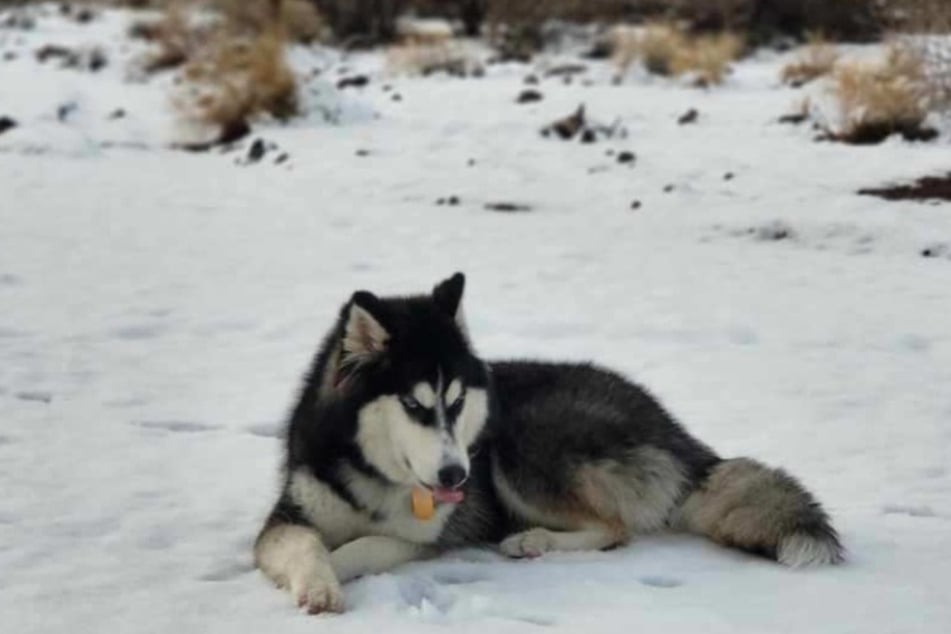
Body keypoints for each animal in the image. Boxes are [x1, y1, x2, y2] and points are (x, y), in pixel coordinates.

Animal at [256, 274, 844, 608]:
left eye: (457, 402)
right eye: (415, 404)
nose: (457, 476)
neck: (371, 474)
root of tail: (674, 431)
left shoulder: (428, 535)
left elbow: (362, 546)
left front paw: (335, 571)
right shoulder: (286, 517)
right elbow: (305, 543)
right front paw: (317, 582)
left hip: (524, 443)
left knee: (613, 528)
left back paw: (532, 540)